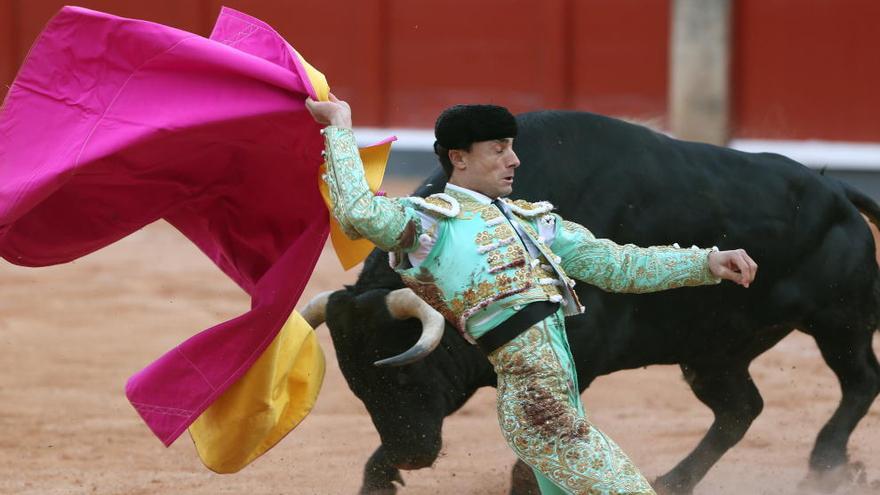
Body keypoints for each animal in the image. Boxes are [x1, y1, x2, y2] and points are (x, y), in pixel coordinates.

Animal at [322, 111, 880, 495]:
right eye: (358, 387)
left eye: (404, 376)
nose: (408, 457)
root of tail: (835, 188)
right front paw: (379, 476)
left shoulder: (580, 360)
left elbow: (538, 459)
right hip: (712, 353)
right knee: (740, 408)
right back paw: (674, 480)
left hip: (839, 322)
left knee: (859, 381)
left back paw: (825, 465)